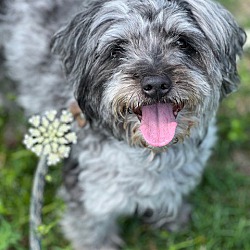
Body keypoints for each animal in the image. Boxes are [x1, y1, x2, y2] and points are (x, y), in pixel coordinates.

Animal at [0, 0, 246, 249]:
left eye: (183, 42)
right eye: (117, 49)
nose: (156, 85)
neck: (151, 155)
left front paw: (174, 220)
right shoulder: (90, 201)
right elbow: (92, 234)